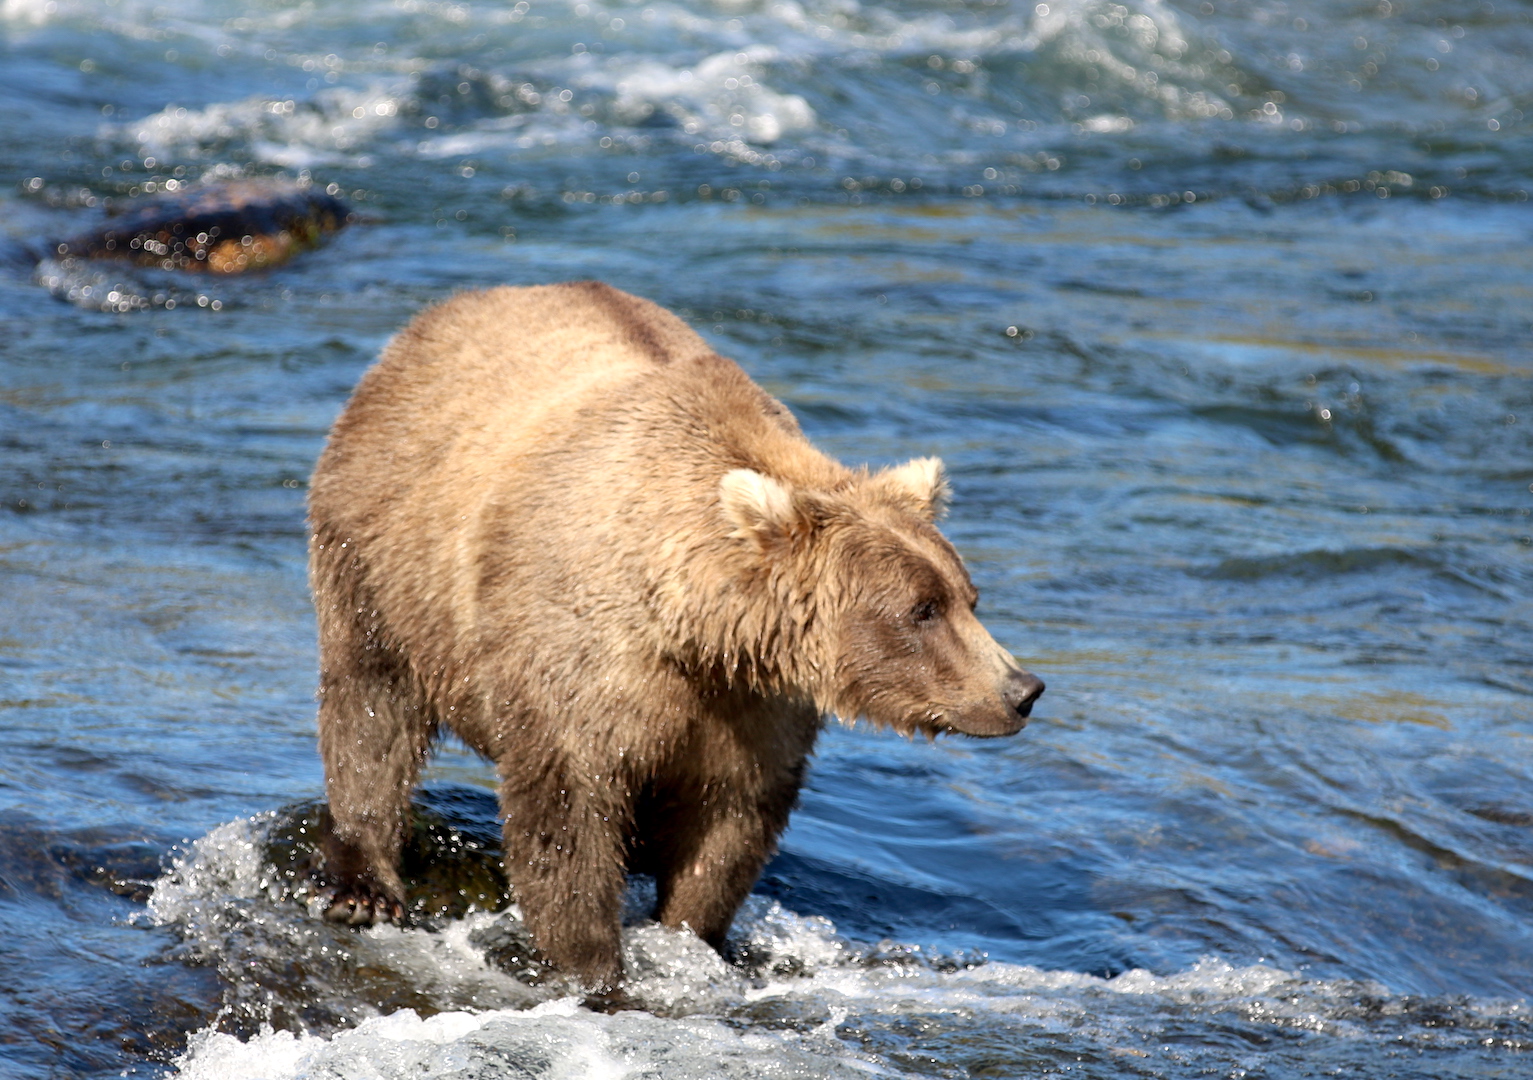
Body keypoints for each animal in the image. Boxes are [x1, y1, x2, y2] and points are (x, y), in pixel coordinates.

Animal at [306, 281, 1044, 991]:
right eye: (921, 610)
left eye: (967, 597)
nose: (1022, 690)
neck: (697, 633)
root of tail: (439, 315)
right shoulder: (582, 667)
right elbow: (568, 816)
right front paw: (593, 966)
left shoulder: (750, 711)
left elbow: (729, 825)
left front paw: (694, 936)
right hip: (381, 553)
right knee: (371, 710)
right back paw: (366, 885)